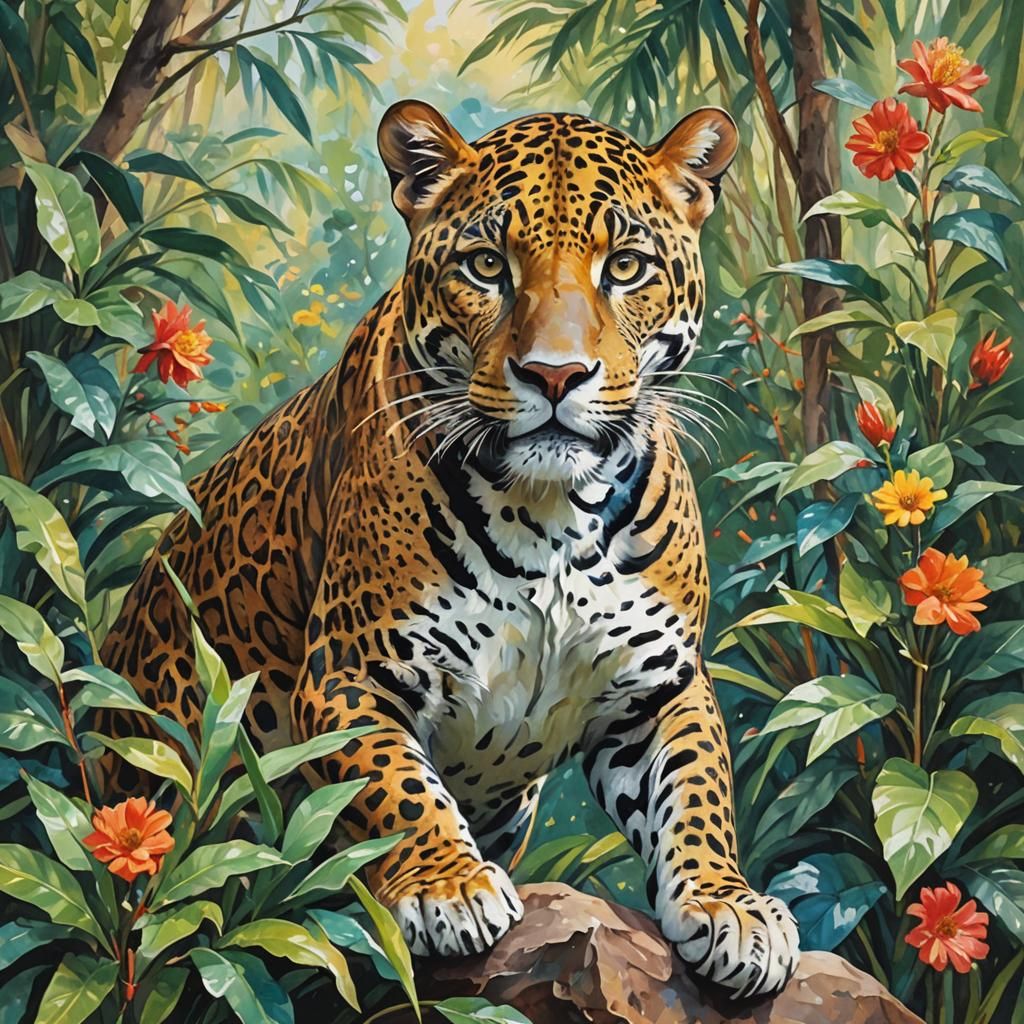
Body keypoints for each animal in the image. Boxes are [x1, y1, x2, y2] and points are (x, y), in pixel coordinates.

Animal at [100, 100, 800, 999]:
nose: (555, 375)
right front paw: (449, 887)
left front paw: (728, 905)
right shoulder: (350, 678)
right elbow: (400, 790)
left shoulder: (659, 686)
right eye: (486, 264)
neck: (552, 517)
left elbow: (700, 790)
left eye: (626, 266)